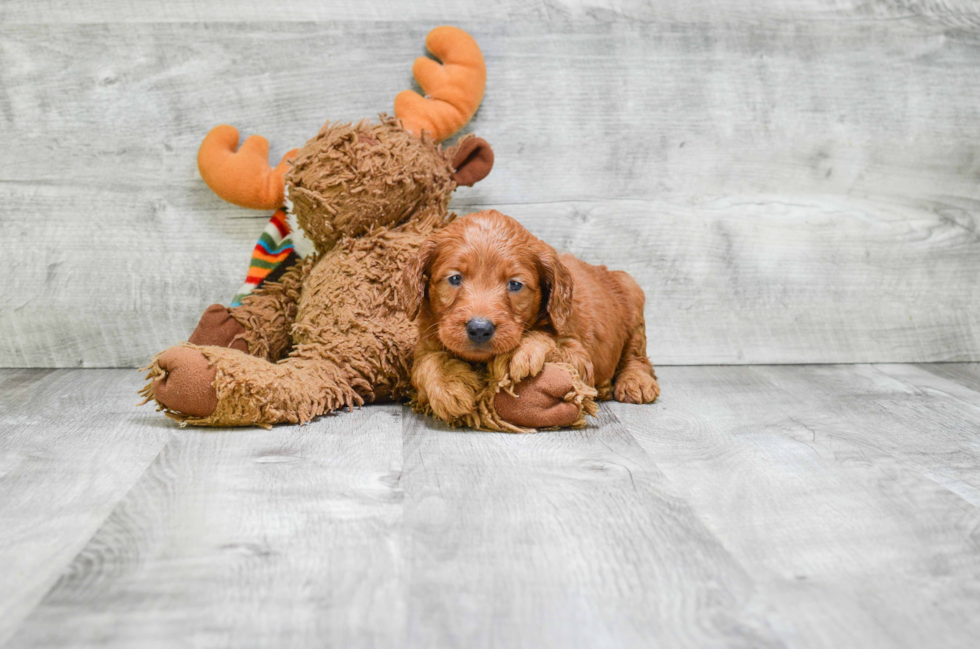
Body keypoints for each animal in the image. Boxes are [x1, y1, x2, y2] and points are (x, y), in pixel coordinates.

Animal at [398, 209, 660, 430]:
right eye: (454, 279)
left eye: (514, 284)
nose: (479, 329)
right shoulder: (425, 344)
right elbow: (427, 363)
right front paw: (450, 386)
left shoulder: (579, 355)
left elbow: (548, 340)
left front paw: (518, 352)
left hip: (632, 296)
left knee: (637, 356)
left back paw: (636, 382)